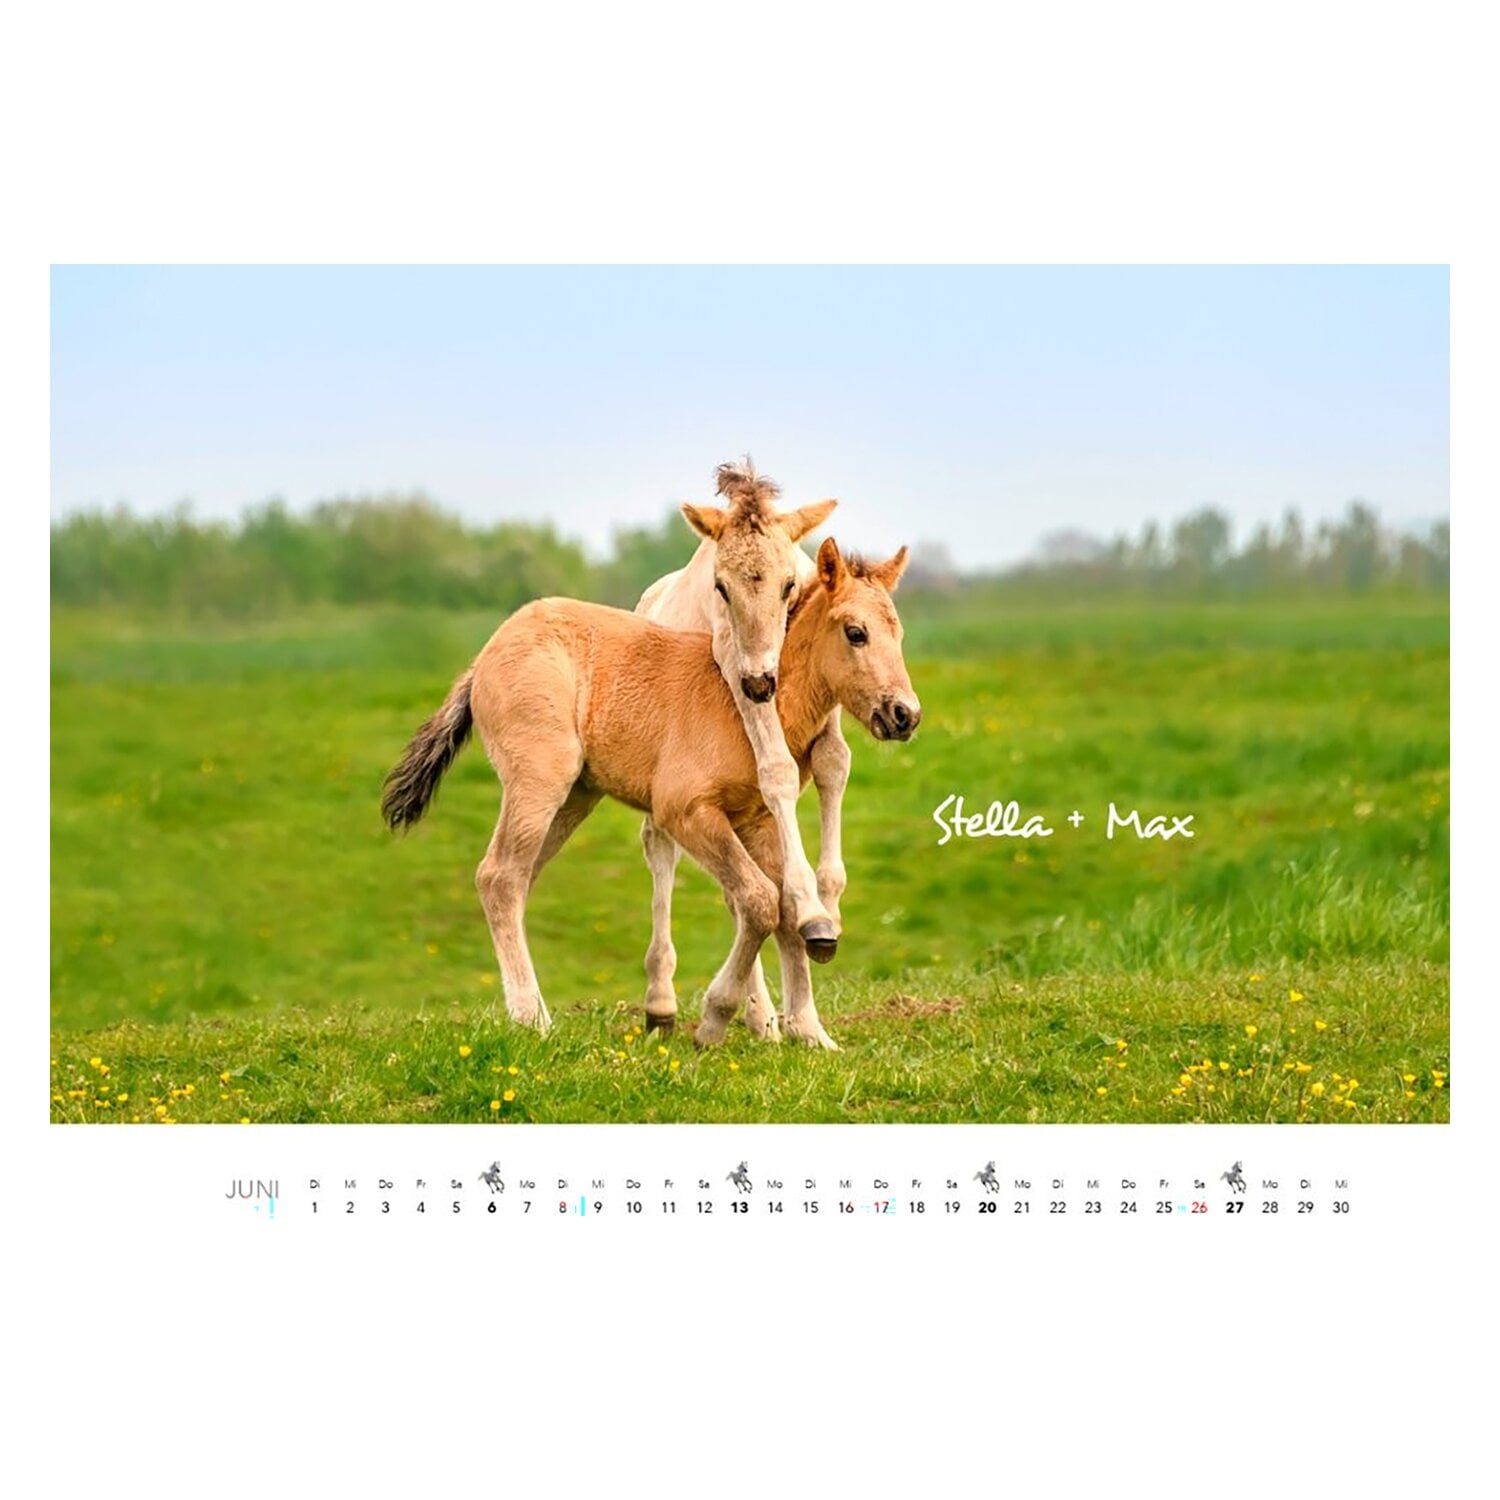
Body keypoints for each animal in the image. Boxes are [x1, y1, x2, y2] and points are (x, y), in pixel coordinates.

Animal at [382, 536, 919, 1049]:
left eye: (899, 634)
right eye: (856, 632)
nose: (905, 714)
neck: (750, 704)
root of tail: (484, 656)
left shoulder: (757, 821)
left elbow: (785, 907)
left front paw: (809, 1031)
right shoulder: (685, 811)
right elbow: (759, 901)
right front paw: (714, 1020)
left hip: (574, 797)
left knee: (514, 878)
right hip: (540, 781)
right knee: (500, 877)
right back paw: (532, 1018)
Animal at [637, 461, 848, 1040]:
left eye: (789, 585)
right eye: (721, 587)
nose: (760, 683)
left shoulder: (824, 698)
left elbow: (833, 764)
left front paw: (828, 901)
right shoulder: (735, 669)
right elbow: (776, 768)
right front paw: (810, 910)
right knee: (664, 849)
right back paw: (685, 1005)